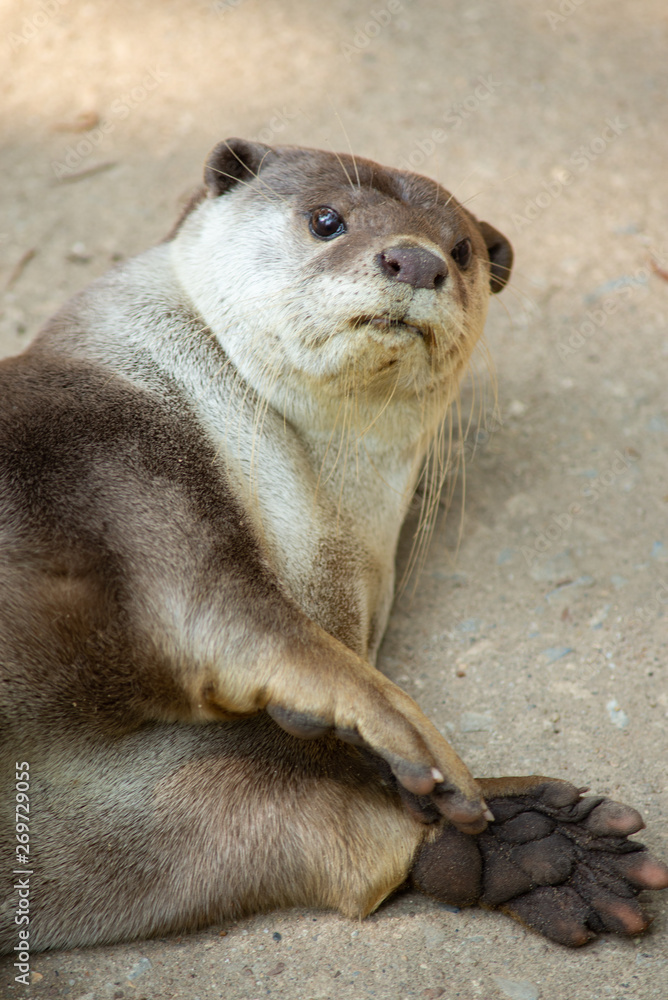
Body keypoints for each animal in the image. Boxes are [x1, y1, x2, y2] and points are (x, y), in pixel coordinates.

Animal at [1, 140, 666, 955]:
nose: (416, 260)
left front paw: (532, 842)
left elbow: (272, 822)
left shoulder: (140, 813)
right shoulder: (110, 465)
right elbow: (219, 603)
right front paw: (397, 727)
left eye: (462, 251)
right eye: (327, 219)